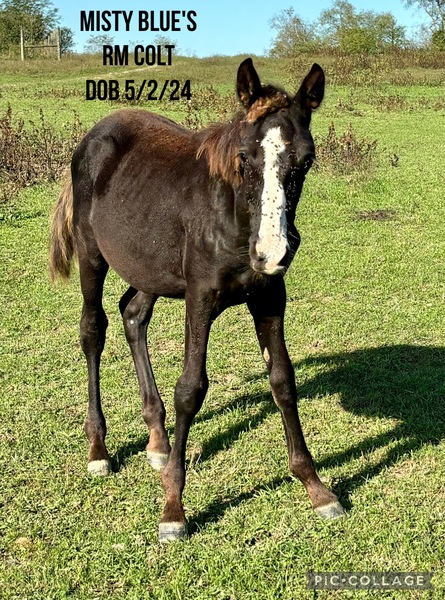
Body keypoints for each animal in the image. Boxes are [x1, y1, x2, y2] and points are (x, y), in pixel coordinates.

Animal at [50, 57, 346, 544]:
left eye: (306, 160)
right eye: (244, 157)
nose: (272, 252)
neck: (233, 216)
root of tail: (94, 135)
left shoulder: (270, 296)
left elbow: (283, 380)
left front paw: (316, 487)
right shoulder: (200, 298)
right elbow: (191, 389)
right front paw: (173, 509)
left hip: (149, 268)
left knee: (133, 315)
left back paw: (157, 440)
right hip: (93, 256)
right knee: (93, 330)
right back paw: (98, 449)